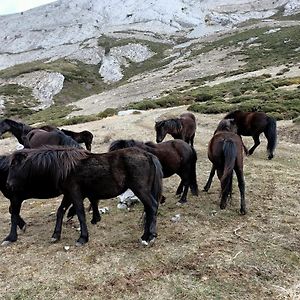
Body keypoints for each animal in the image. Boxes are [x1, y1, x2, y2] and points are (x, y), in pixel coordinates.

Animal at [5, 146, 164, 246]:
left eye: (14, 165)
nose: (8, 185)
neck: (66, 168)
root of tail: (147, 155)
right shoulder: (68, 194)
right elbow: (60, 211)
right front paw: (56, 235)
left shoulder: (75, 194)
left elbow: (80, 213)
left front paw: (82, 238)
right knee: (149, 209)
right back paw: (145, 236)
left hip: (140, 189)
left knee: (152, 207)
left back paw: (150, 237)